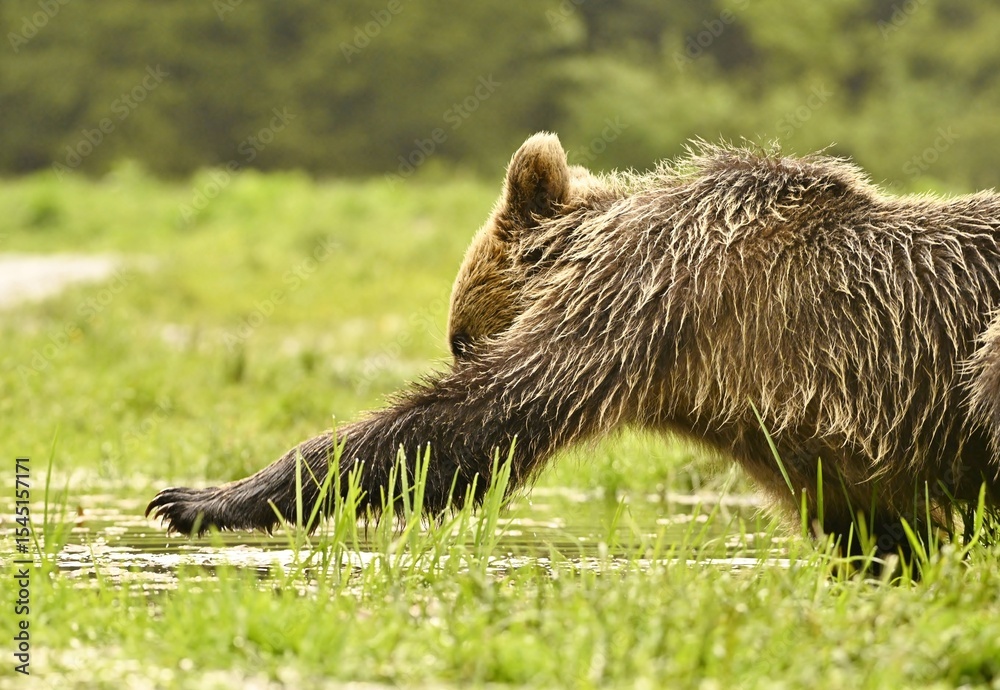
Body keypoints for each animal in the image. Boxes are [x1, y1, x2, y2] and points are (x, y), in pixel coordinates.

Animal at [147, 132, 1000, 559]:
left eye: (461, 341)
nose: (459, 346)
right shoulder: (829, 456)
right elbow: (881, 530)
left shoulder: (642, 294)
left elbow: (477, 420)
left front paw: (199, 499)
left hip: (983, 347)